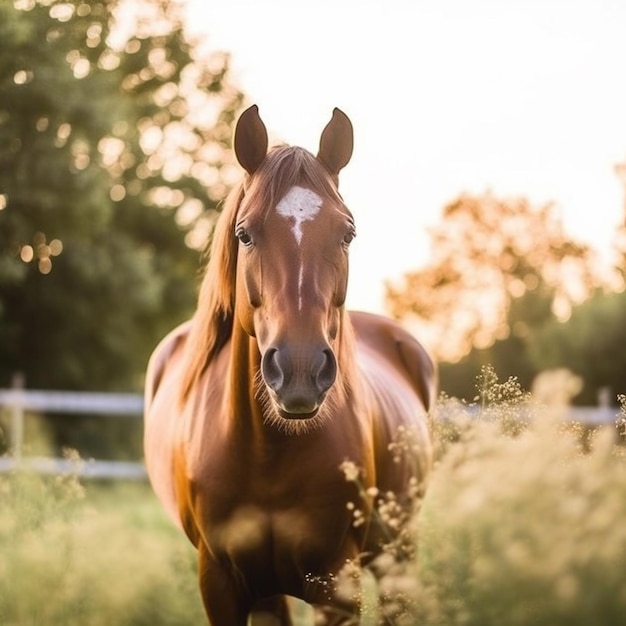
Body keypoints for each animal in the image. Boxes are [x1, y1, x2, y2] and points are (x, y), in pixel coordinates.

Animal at [143, 105, 432, 620]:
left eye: (348, 233)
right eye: (244, 234)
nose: (300, 371)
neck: (267, 452)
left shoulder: (337, 586)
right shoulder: (220, 583)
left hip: (397, 552)